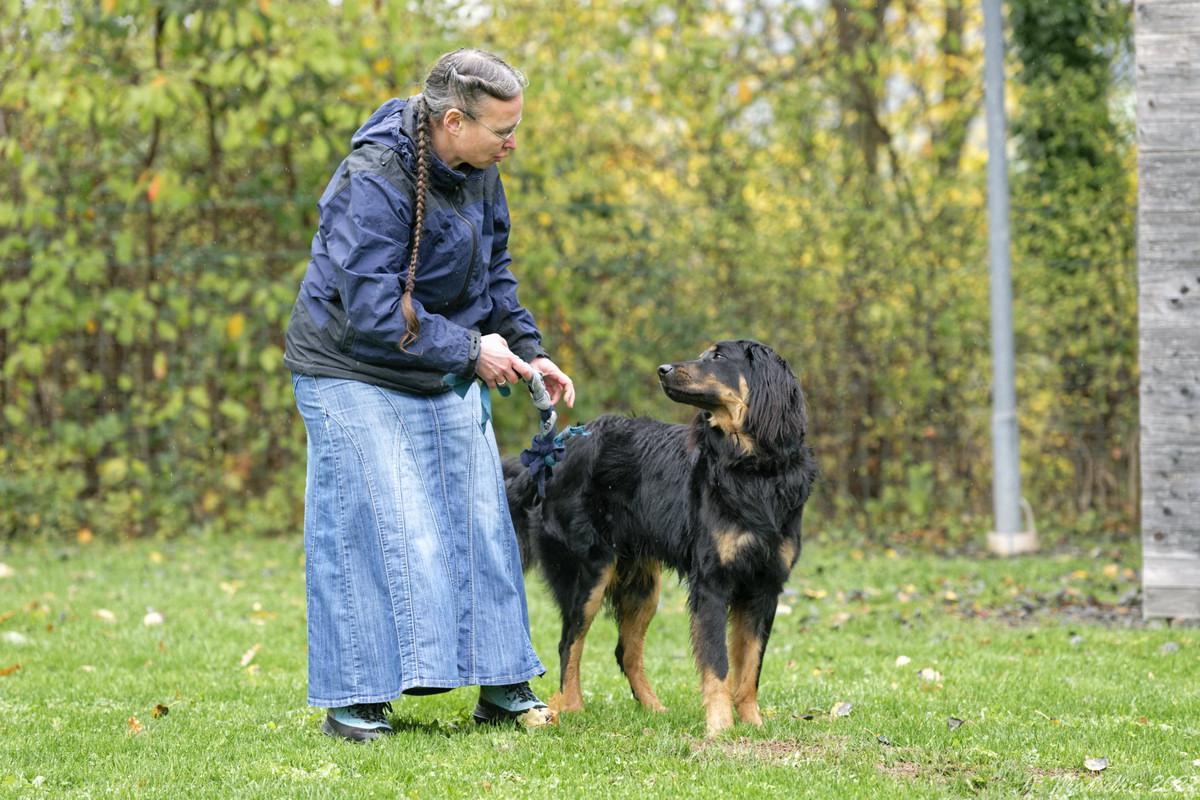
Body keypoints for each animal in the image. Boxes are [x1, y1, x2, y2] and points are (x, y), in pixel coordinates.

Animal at [506, 340, 816, 738]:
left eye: (717, 357)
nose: (662, 370)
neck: (755, 467)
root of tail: (552, 456)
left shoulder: (765, 587)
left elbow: (749, 670)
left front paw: (752, 723)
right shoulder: (712, 582)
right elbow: (718, 666)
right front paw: (720, 728)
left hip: (643, 586)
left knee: (625, 651)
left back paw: (654, 710)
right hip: (589, 572)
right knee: (569, 642)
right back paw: (573, 707)